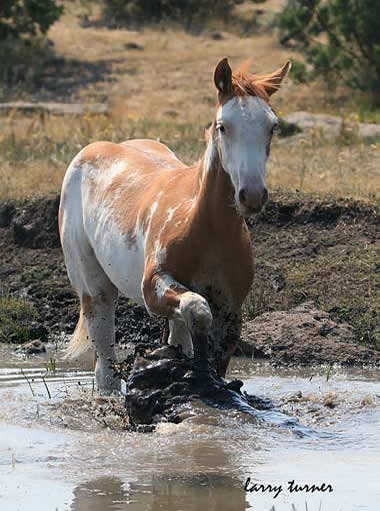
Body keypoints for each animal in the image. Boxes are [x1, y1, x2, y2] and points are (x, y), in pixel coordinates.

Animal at [58, 58, 290, 394]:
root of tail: (91, 151)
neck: (205, 227)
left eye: (272, 126)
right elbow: (198, 310)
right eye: (223, 126)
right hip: (94, 289)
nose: (252, 195)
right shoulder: (154, 287)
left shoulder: (231, 309)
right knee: (105, 364)